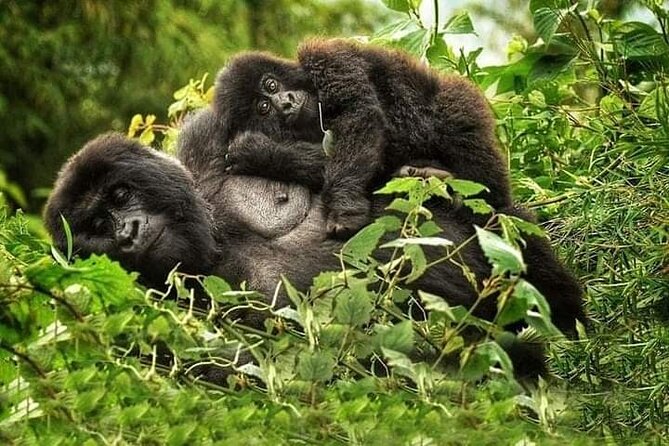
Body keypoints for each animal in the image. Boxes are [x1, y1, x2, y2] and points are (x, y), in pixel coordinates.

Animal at [211, 39, 512, 237]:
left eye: (271, 84)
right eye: (263, 107)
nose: (285, 103)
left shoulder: (326, 58)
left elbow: (359, 114)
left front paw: (344, 210)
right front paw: (262, 154)